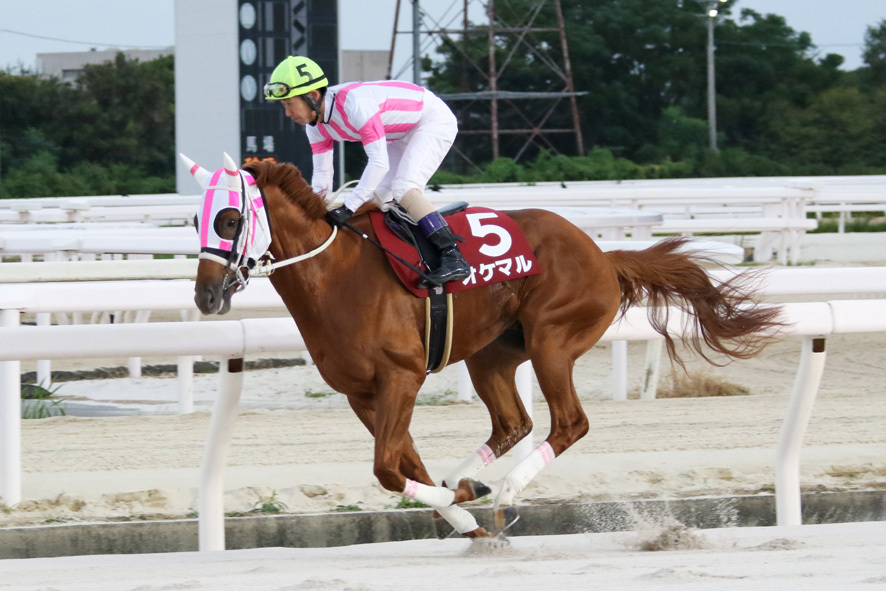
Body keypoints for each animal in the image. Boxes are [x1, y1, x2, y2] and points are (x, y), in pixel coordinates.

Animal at [182, 154, 784, 540]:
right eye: (194, 218)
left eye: (229, 219)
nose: (206, 295)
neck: (337, 276)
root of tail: (601, 254)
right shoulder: (362, 392)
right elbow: (404, 462)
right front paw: (461, 511)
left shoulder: (402, 377)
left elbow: (387, 467)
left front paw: (463, 502)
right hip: (491, 353)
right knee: (513, 423)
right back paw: (473, 481)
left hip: (552, 340)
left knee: (569, 422)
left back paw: (506, 493)